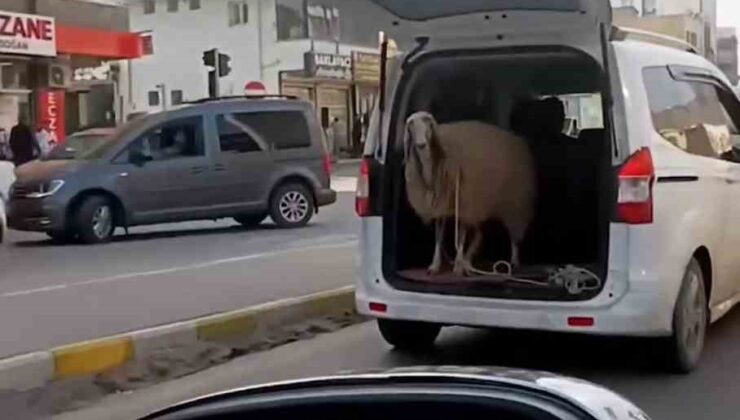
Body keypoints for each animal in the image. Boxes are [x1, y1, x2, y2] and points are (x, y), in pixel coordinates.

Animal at [404, 111, 536, 276]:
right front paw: (435, 265)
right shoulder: (441, 206)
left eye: (428, 123)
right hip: (482, 204)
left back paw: (513, 260)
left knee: (514, 234)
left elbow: (460, 238)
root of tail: (518, 139)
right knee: (480, 235)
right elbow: (439, 237)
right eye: (411, 124)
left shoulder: (464, 204)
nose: (421, 145)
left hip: (516, 203)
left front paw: (457, 266)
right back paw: (468, 261)